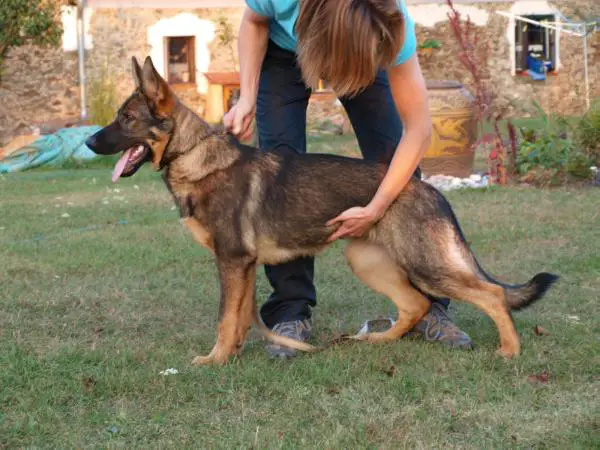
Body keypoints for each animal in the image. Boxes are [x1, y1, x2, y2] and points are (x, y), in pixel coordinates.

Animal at [85, 56, 558, 366]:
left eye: (126, 118)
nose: (88, 142)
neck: (196, 157)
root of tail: (426, 187)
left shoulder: (232, 263)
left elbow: (224, 319)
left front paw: (214, 360)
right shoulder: (243, 267)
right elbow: (239, 319)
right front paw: (235, 354)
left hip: (425, 265)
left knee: (489, 294)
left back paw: (510, 351)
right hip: (368, 261)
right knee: (415, 305)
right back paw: (376, 341)